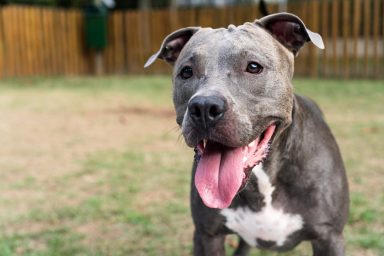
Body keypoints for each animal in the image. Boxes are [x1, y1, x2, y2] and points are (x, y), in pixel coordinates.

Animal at [144, 12, 348, 256]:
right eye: (186, 72)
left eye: (253, 67)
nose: (204, 107)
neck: (262, 180)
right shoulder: (208, 235)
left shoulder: (329, 238)